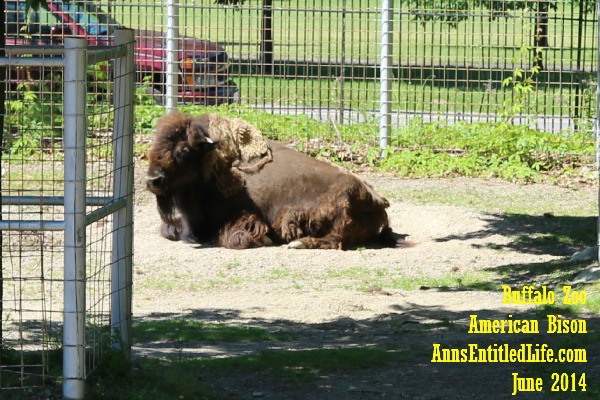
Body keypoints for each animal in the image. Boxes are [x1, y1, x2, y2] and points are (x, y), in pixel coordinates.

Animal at [146, 111, 408, 250]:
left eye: (183, 151)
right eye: (154, 146)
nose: (152, 180)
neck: (211, 161)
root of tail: (378, 200)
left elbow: (236, 235)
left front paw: (263, 238)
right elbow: (168, 230)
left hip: (342, 204)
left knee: (335, 240)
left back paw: (297, 243)